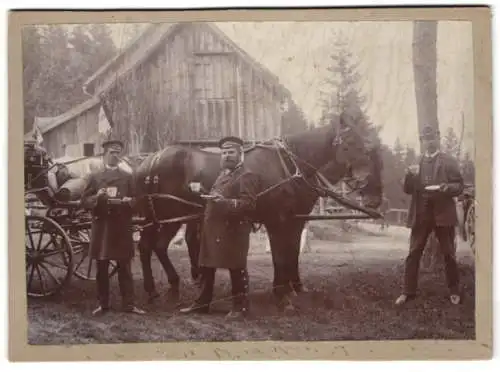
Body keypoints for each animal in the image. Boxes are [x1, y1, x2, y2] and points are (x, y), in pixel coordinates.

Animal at [133, 112, 382, 310]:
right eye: (348, 143)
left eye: (362, 144)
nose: (374, 198)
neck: (289, 167)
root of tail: (151, 160)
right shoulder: (278, 221)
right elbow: (281, 257)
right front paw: (282, 293)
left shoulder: (293, 220)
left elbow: (292, 254)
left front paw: (293, 287)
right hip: (165, 216)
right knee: (151, 247)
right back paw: (162, 287)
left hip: (165, 217)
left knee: (153, 246)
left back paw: (164, 287)